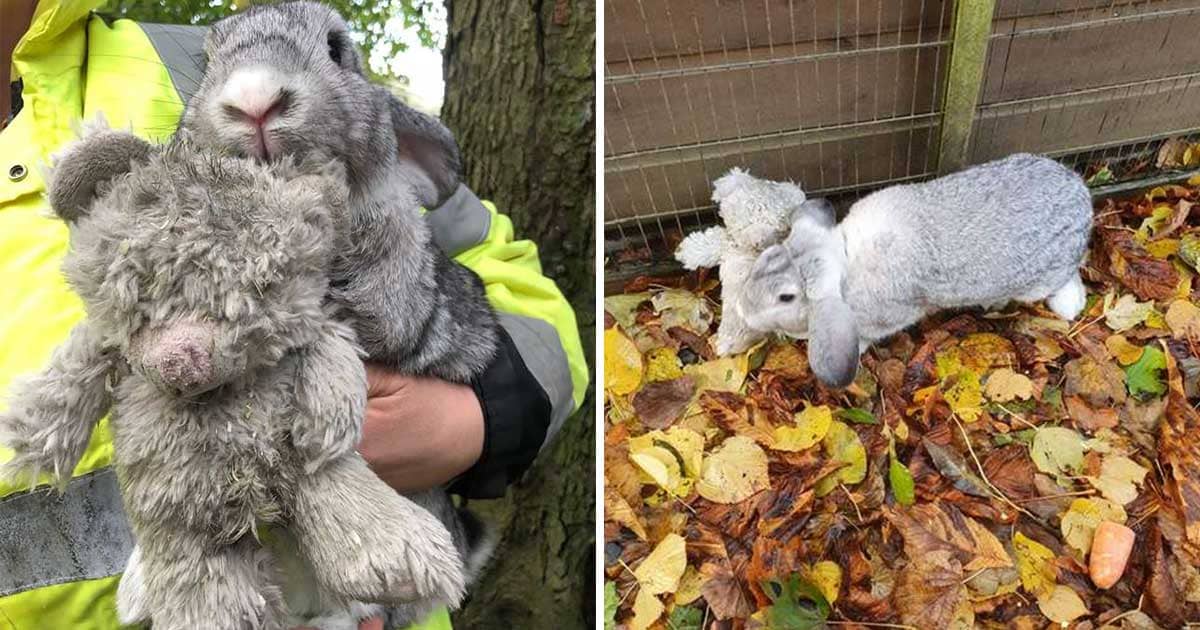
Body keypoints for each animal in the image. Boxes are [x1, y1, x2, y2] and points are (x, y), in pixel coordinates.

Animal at [734, 153, 1094, 386]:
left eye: (786, 297)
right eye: (768, 255)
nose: (742, 308)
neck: (847, 258)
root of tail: (1083, 198)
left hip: (1042, 279)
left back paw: (1066, 304)